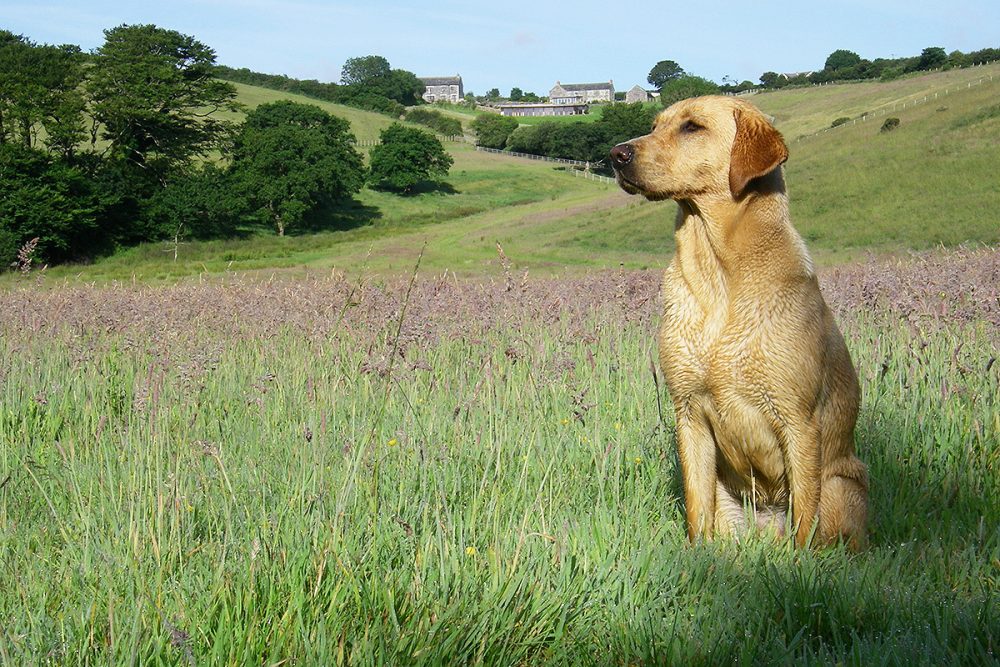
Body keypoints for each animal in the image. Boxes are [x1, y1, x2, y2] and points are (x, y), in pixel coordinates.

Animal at [608, 96, 868, 552]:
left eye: (692, 127)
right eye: (654, 125)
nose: (616, 154)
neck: (719, 274)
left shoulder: (799, 420)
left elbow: (805, 520)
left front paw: (801, 566)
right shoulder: (689, 412)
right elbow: (696, 507)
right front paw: (696, 556)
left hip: (841, 487)